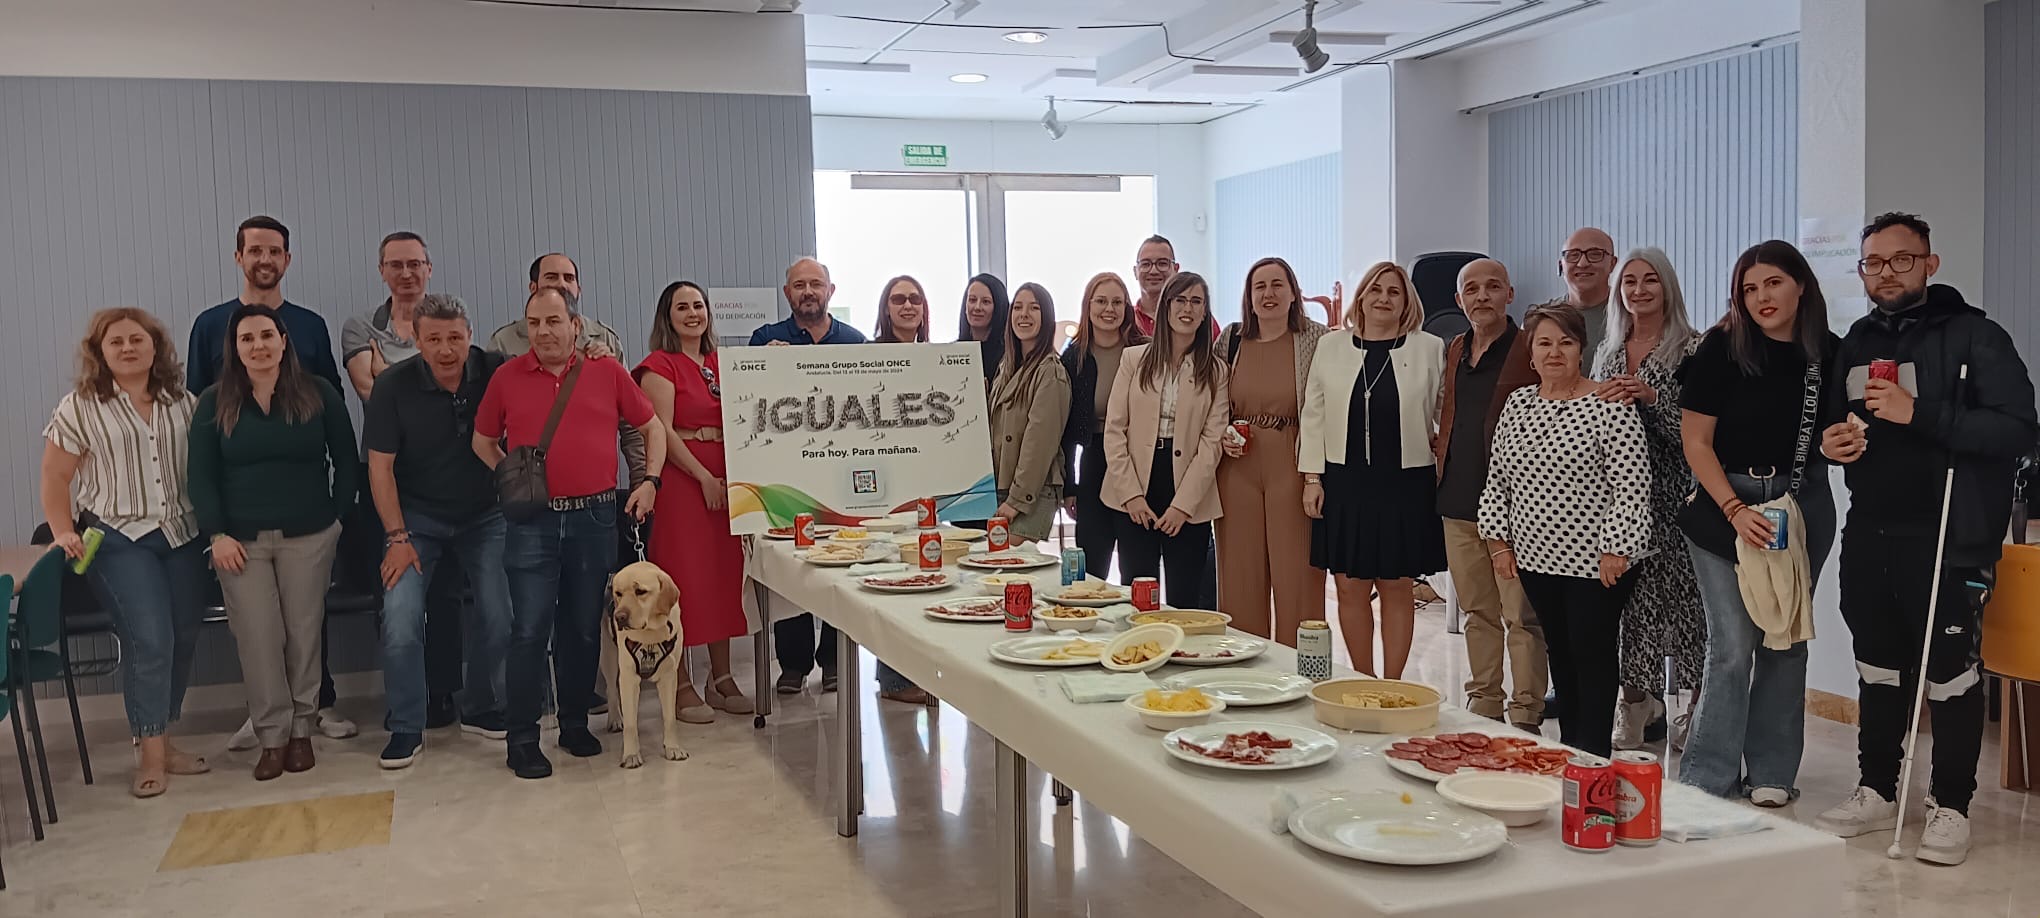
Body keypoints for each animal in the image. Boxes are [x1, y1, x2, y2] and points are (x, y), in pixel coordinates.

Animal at [603, 558, 693, 767]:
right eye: (619, 593)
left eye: (640, 591)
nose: (619, 617)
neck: (651, 632)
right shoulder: (629, 678)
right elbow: (630, 724)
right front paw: (631, 755)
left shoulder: (669, 677)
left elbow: (670, 718)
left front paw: (673, 748)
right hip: (608, 656)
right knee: (611, 689)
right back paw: (615, 718)